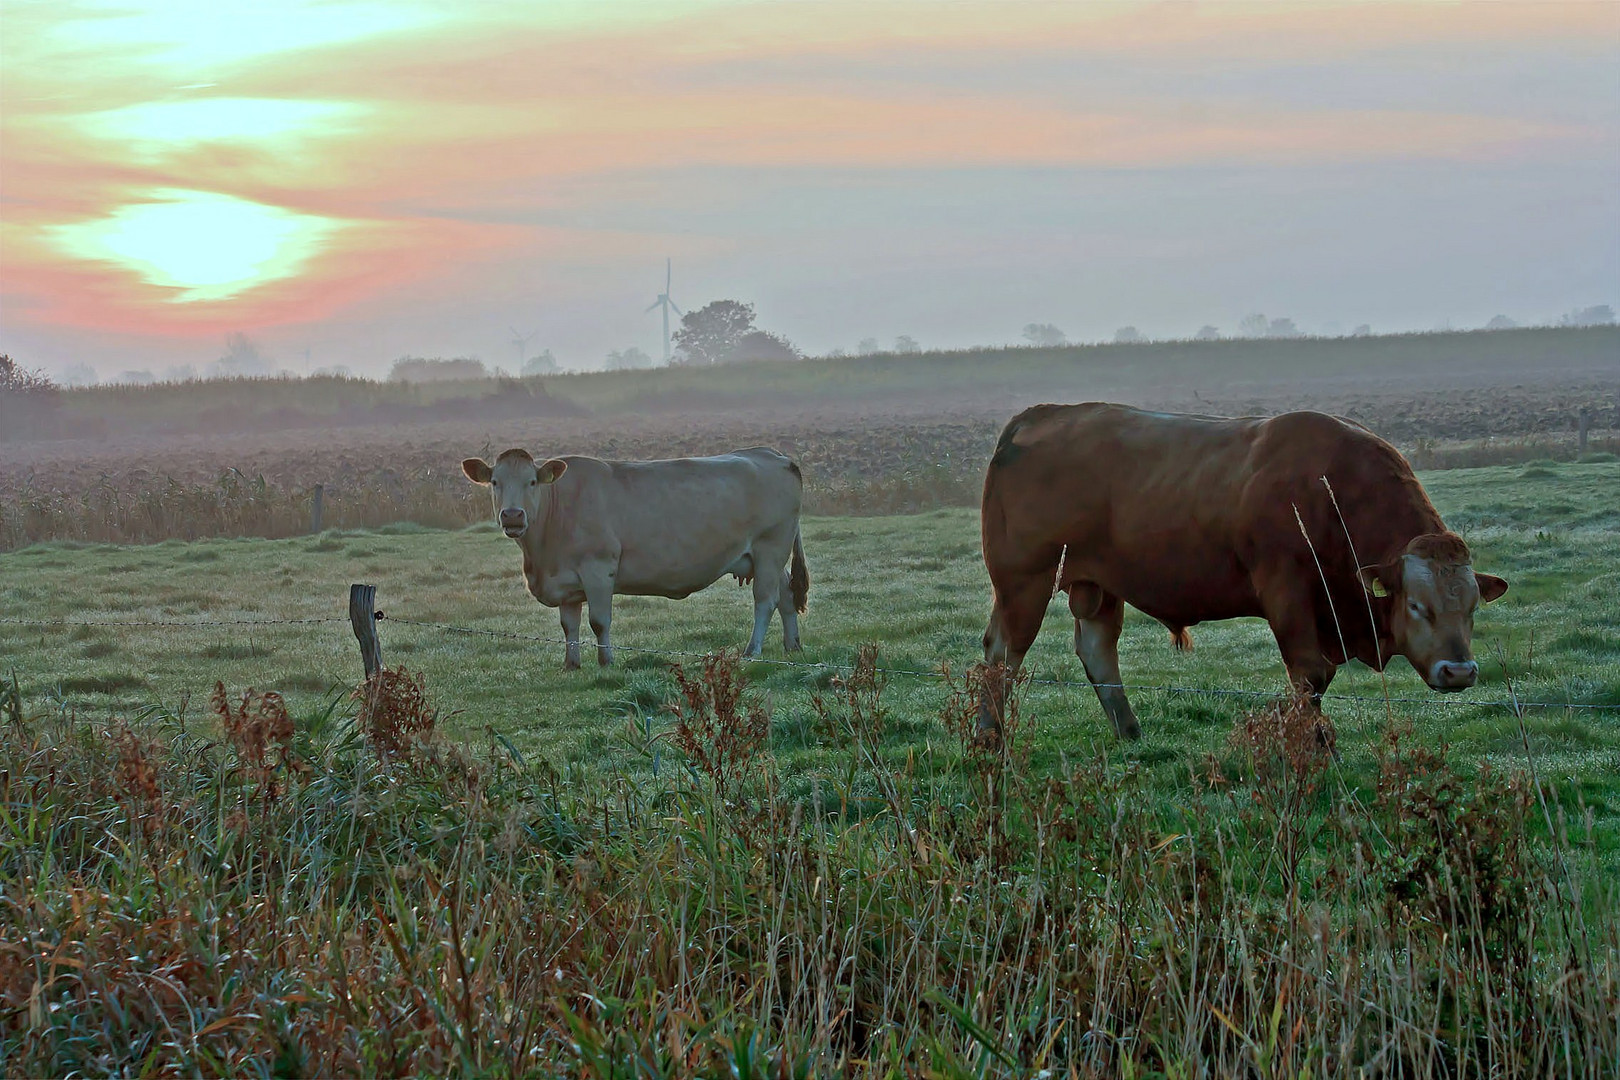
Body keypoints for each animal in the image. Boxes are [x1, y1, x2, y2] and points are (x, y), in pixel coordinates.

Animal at [460, 440, 806, 663]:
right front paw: (571, 664)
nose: (512, 515)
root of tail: (771, 454)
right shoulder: (566, 582)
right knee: (787, 595)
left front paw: (607, 662)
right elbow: (569, 626)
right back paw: (793, 647)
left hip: (770, 546)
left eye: (532, 482)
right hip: (768, 556)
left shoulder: (598, 568)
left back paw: (752, 651)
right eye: (494, 482)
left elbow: (599, 621)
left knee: (765, 600)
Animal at [978, 404, 1509, 744]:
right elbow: (1311, 674)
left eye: (1472, 609)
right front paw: (1312, 740)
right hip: (1023, 582)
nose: (1459, 671)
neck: (1330, 490)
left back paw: (1129, 732)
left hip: (1099, 587)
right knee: (1002, 654)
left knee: (1097, 651)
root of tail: (1040, 415)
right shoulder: (1285, 589)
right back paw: (990, 734)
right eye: (1418, 606)